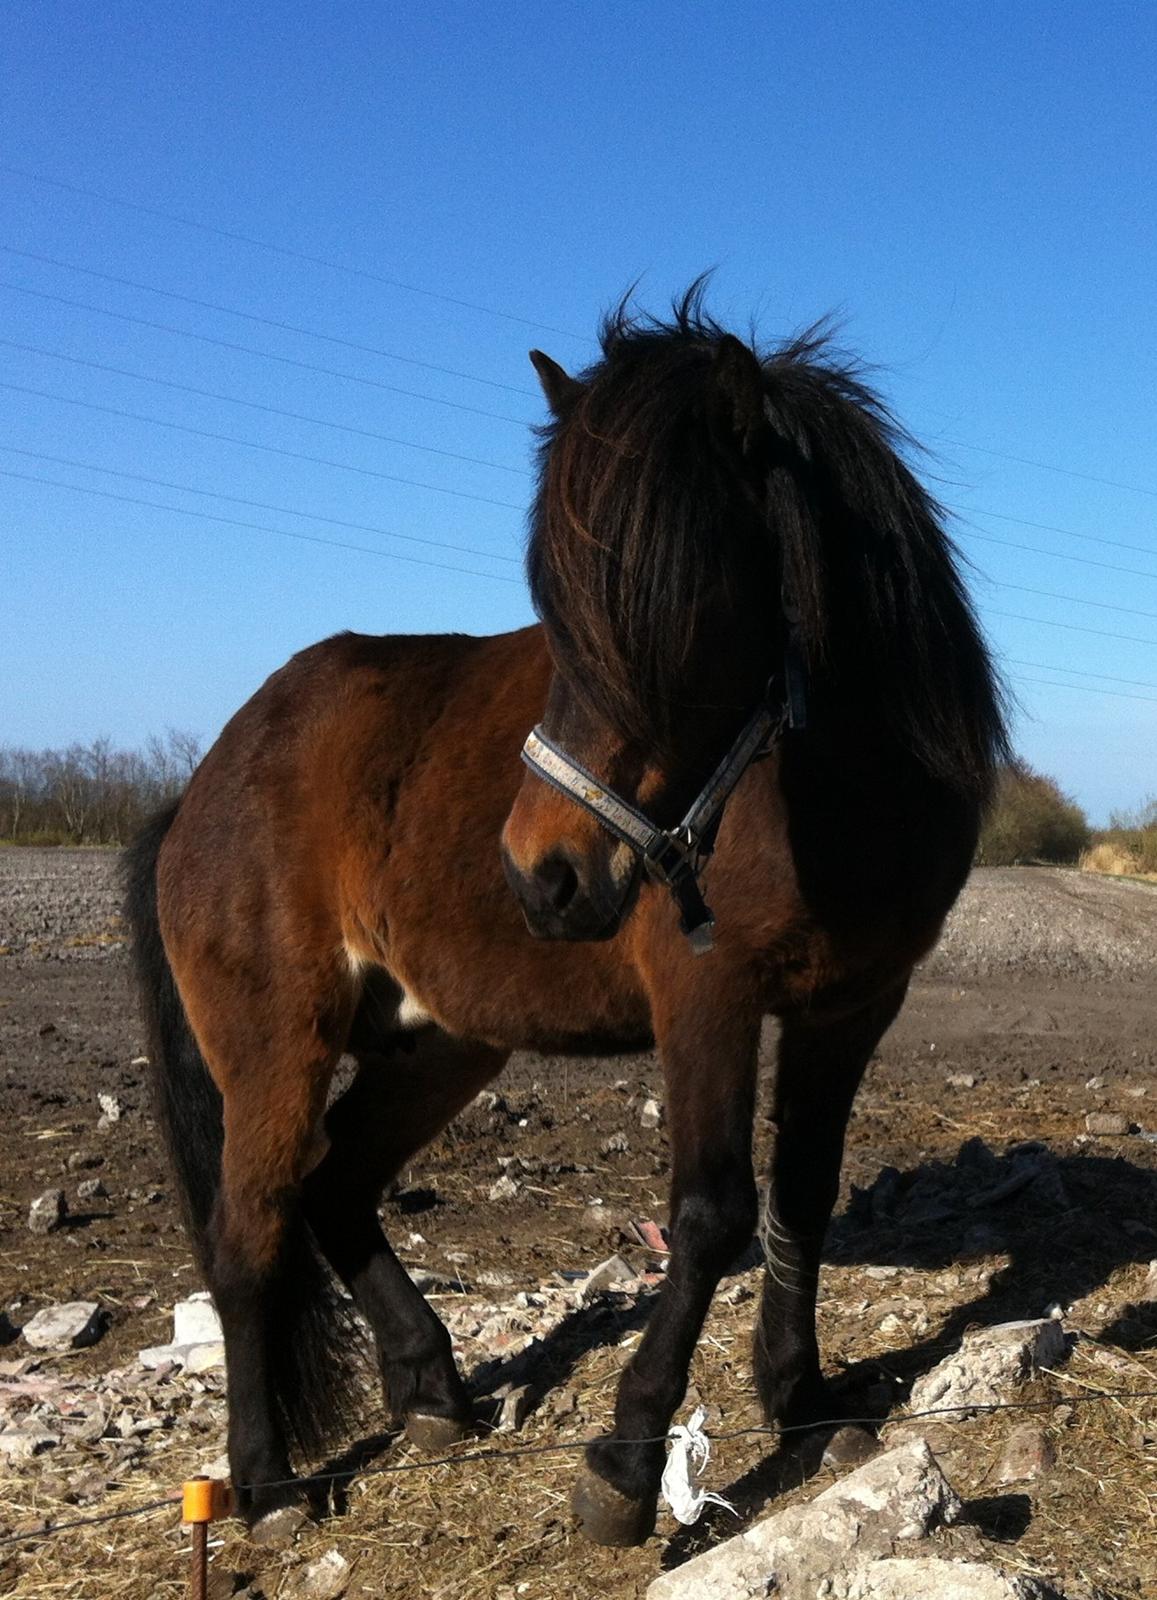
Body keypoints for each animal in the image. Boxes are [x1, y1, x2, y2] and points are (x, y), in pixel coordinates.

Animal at [124, 291, 1004, 1548]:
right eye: (553, 605)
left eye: (680, 602)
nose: (540, 874)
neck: (834, 793)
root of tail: (203, 781)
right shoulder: (706, 1000)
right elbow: (711, 1213)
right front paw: (628, 1458)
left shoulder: (849, 1009)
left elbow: (800, 1196)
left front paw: (801, 1400)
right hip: (273, 1048)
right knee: (251, 1234)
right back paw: (268, 1483)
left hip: (440, 1043)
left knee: (337, 1185)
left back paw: (431, 1391)